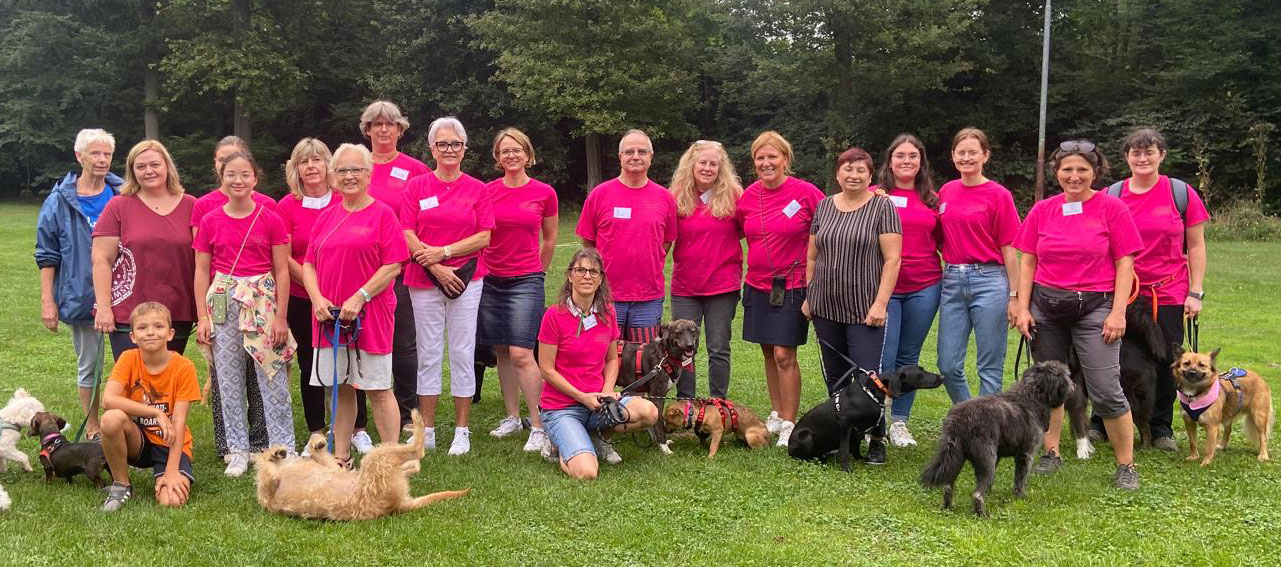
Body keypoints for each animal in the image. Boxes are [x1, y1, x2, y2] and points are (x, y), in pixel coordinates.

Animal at [252, 409, 468, 522]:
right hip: (375, 460)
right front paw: (274, 454)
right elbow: (268, 474)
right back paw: (417, 421)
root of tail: (398, 505)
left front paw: (316, 443)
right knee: (417, 452)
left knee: (415, 463)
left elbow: (318, 451)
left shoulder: (333, 467)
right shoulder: (268, 491)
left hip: (377, 462)